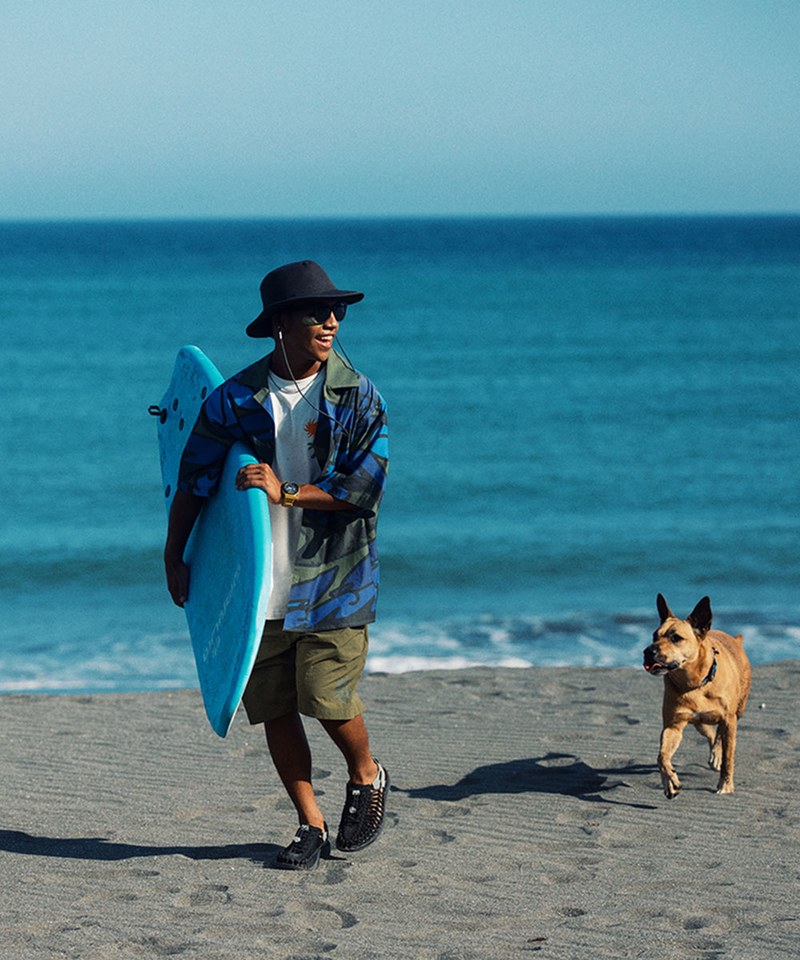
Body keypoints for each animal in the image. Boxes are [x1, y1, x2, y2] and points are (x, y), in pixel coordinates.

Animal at [644, 596, 752, 800]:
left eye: (676, 638)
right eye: (654, 636)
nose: (647, 652)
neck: (694, 684)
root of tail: (736, 640)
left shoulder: (729, 719)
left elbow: (728, 758)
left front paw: (726, 785)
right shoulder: (673, 726)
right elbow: (662, 756)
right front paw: (669, 781)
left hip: (738, 709)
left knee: (721, 734)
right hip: (698, 722)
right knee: (710, 733)